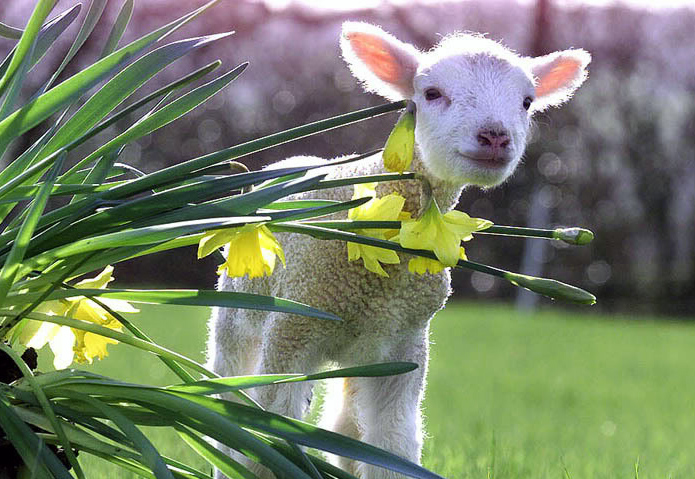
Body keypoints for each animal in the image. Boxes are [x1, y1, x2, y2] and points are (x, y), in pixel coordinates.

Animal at [208, 20, 592, 478]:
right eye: (432, 93)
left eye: (527, 102)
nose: (495, 137)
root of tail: (289, 164)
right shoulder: (290, 331)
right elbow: (264, 435)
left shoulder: (403, 346)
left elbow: (391, 444)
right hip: (237, 315)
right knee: (227, 394)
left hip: (362, 356)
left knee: (346, 424)